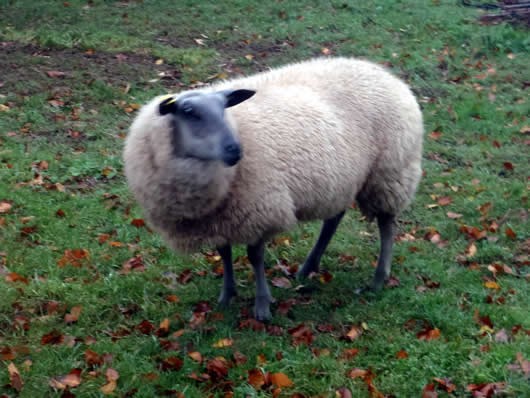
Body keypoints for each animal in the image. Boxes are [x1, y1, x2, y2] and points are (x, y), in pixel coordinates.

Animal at [122, 56, 420, 322]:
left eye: (224, 109)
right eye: (189, 112)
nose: (235, 149)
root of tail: (383, 72)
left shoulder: (259, 208)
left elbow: (255, 257)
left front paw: (262, 306)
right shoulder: (220, 217)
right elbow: (224, 253)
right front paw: (226, 296)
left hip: (390, 173)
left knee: (387, 224)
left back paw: (379, 278)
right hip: (342, 179)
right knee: (333, 219)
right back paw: (308, 267)